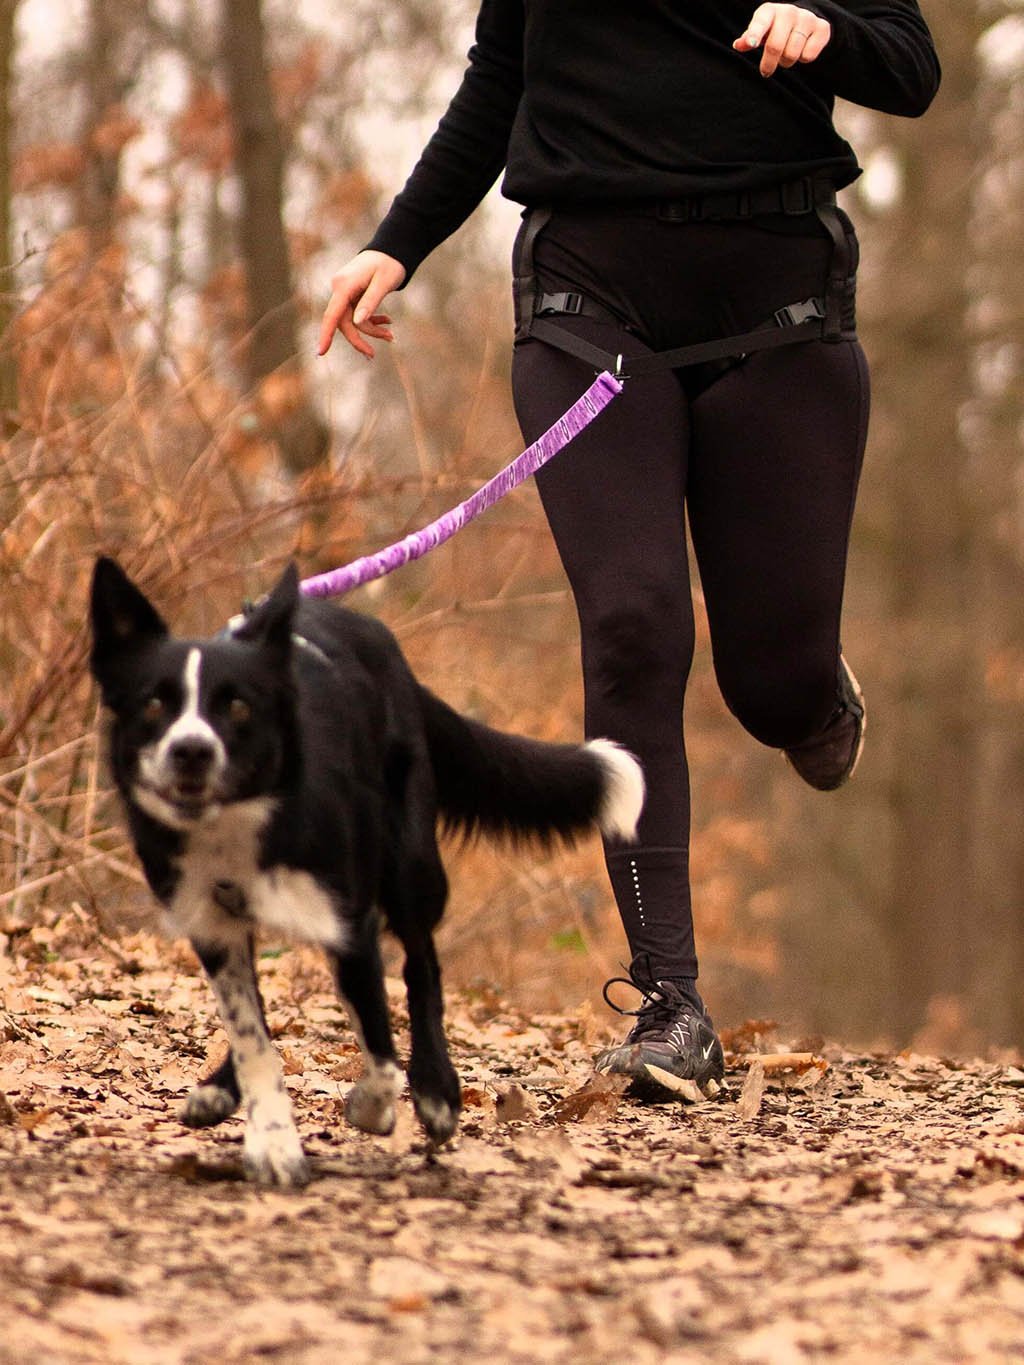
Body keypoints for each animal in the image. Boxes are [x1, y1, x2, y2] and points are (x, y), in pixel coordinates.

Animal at [92, 559, 644, 1190]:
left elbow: (380, 1052)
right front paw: (272, 1143)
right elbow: (253, 1036)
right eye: (153, 704)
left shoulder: (350, 922)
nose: (191, 751)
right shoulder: (213, 926)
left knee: (423, 967)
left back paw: (436, 1090)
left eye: (237, 707)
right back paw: (220, 1093)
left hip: (412, 868)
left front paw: (372, 1108)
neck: (242, 819)